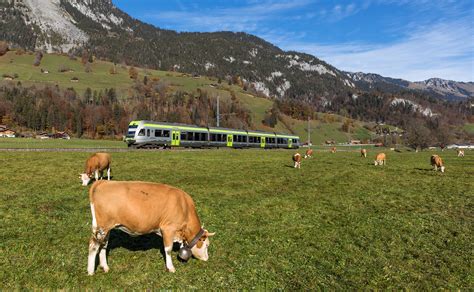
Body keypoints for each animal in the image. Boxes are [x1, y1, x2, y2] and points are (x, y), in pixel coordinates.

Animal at [86, 180, 215, 276]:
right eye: (207, 245)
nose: (207, 259)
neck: (184, 206)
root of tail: (103, 182)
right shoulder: (168, 229)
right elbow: (168, 249)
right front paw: (170, 268)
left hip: (106, 229)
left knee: (104, 245)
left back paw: (105, 267)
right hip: (102, 227)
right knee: (93, 246)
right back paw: (91, 271)